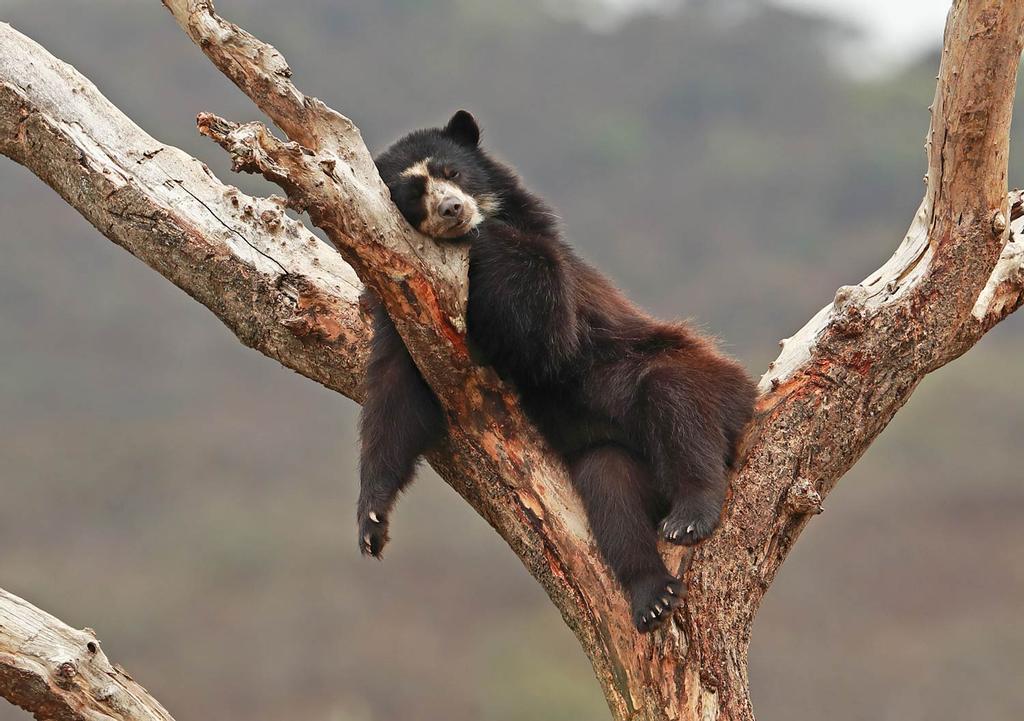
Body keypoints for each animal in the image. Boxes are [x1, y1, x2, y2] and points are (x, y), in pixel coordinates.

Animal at [357, 110, 757, 632]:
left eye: (453, 172)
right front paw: (372, 523)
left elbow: (548, 335)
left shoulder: (548, 272)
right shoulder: (407, 305)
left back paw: (690, 514)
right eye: (412, 193)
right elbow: (396, 394)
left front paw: (486, 234)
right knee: (609, 483)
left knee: (675, 395)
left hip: (708, 377)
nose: (452, 210)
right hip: (620, 460)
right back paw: (652, 595)